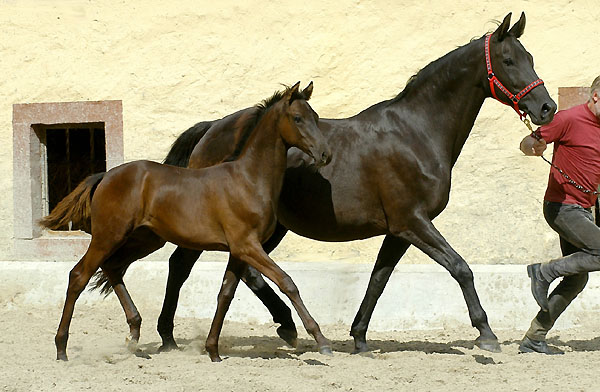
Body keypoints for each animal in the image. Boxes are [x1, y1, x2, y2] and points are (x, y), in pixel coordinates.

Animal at [42, 82, 332, 362]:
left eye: (316, 117)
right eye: (297, 118)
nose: (325, 154)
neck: (248, 179)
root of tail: (104, 176)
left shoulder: (238, 251)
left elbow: (225, 294)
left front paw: (213, 350)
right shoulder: (248, 246)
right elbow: (287, 282)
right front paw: (321, 340)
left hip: (143, 240)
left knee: (113, 268)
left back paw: (134, 333)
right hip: (108, 236)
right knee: (79, 276)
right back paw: (61, 348)